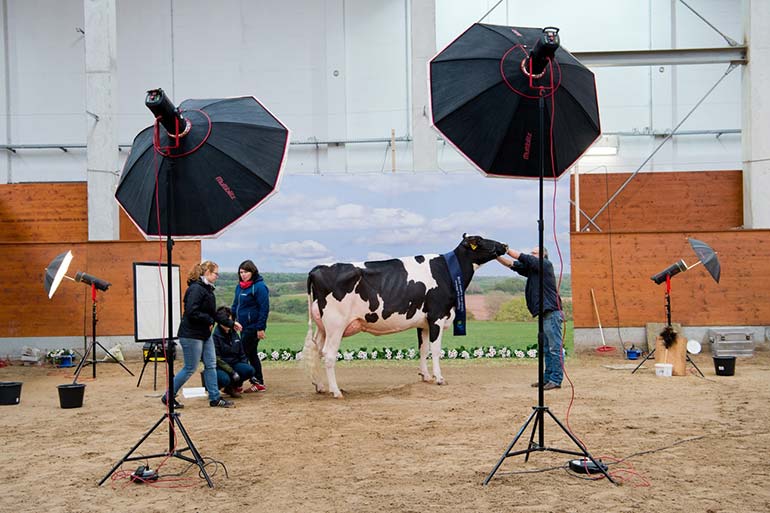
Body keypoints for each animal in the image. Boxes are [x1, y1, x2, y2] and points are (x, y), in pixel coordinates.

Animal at [304, 234, 508, 398]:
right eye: (479, 240)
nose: (504, 245)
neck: (446, 271)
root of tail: (317, 269)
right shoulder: (437, 316)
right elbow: (435, 349)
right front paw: (439, 378)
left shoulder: (423, 322)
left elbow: (423, 349)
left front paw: (426, 376)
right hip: (335, 324)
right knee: (328, 354)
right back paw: (336, 391)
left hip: (323, 327)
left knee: (316, 351)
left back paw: (320, 386)